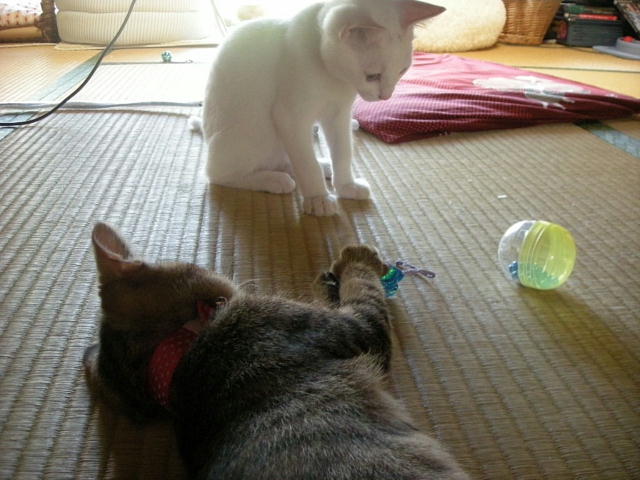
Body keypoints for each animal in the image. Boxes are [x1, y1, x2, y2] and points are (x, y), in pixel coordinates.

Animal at [195, 0, 445, 216]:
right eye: (372, 76)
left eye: (403, 71)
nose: (386, 96)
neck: (333, 77)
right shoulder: (291, 118)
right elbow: (308, 165)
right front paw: (318, 199)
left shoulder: (339, 115)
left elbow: (343, 153)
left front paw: (346, 186)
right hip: (252, 136)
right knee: (218, 174)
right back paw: (274, 179)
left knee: (288, 159)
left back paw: (322, 166)